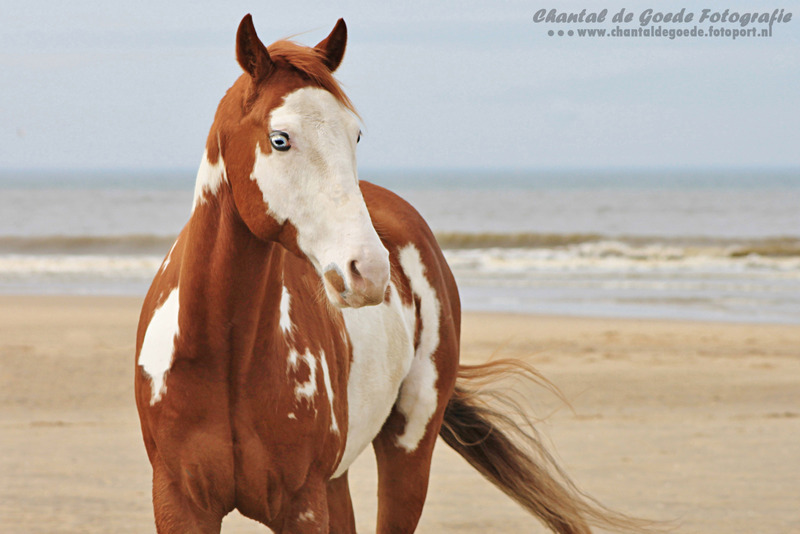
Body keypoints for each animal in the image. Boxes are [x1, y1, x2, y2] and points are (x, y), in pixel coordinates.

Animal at [135, 15, 641, 534]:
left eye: (355, 135)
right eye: (280, 138)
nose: (369, 270)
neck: (224, 358)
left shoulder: (302, 505)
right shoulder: (180, 504)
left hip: (407, 447)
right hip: (337, 480)